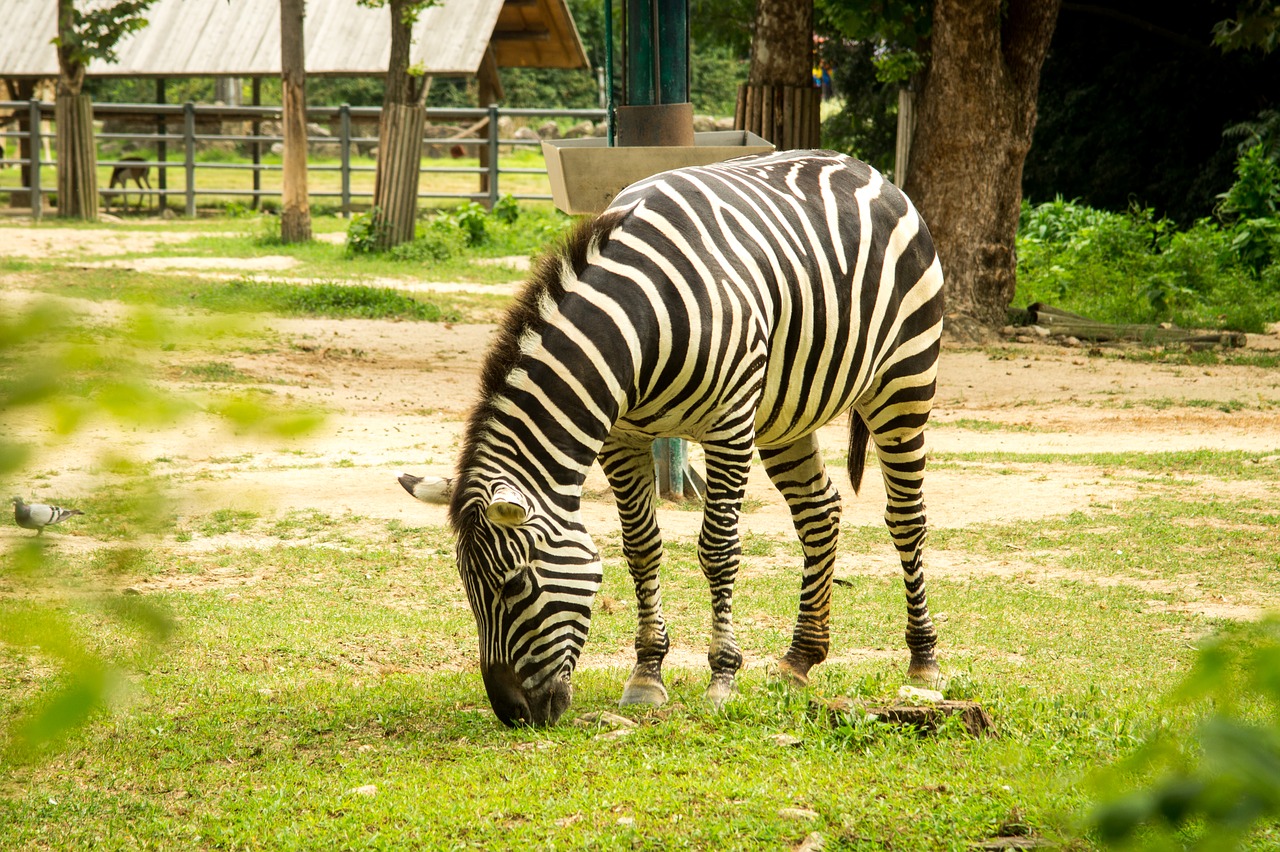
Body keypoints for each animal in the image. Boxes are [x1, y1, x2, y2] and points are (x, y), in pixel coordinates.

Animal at [404, 149, 947, 721]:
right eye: (467, 588)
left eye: (515, 584)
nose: (514, 714)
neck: (638, 324)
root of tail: (866, 171)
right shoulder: (622, 438)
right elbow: (640, 547)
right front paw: (646, 675)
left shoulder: (729, 425)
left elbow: (718, 548)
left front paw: (722, 679)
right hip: (785, 411)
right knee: (819, 512)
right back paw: (799, 659)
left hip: (905, 381)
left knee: (906, 518)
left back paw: (924, 663)